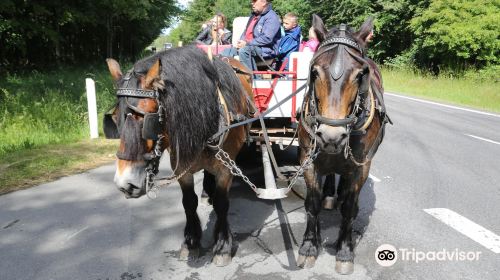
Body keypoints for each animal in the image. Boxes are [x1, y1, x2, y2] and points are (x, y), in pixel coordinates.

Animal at [105, 46, 254, 266]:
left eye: (146, 119)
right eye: (115, 119)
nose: (125, 184)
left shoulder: (226, 168)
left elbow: (222, 203)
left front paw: (222, 246)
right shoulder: (182, 168)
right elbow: (189, 202)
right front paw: (191, 242)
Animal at [296, 14, 390, 274]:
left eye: (360, 74)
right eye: (315, 71)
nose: (331, 136)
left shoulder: (361, 166)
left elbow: (350, 208)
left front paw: (345, 250)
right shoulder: (308, 160)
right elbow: (312, 203)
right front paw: (309, 246)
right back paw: (330, 193)